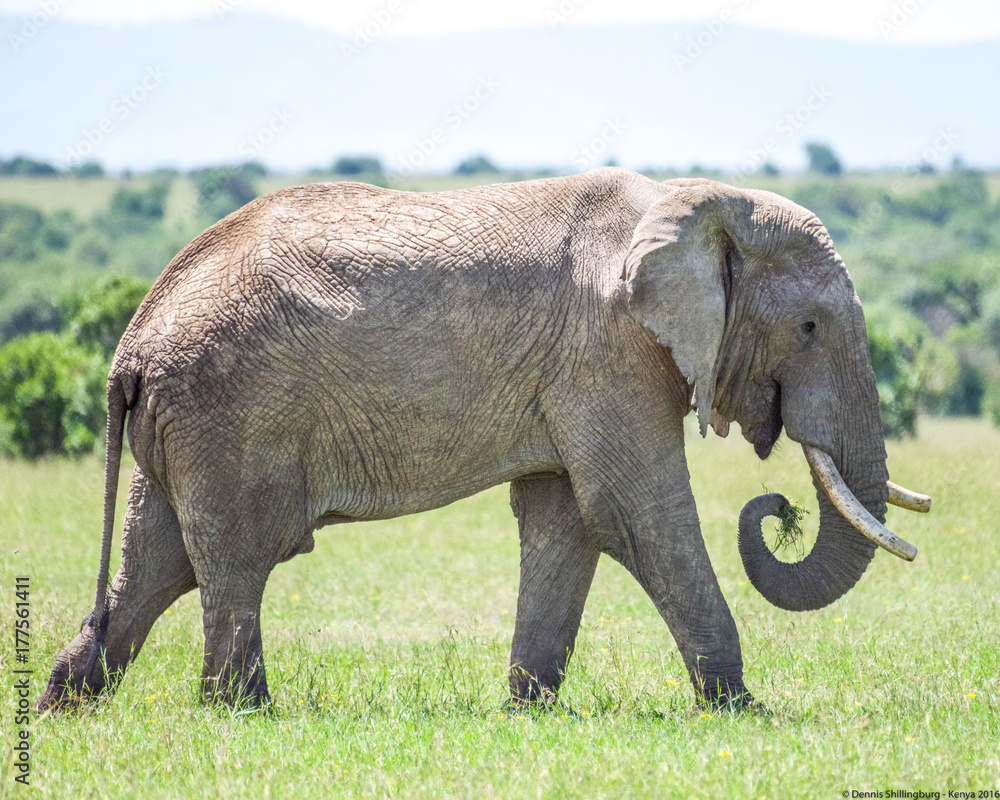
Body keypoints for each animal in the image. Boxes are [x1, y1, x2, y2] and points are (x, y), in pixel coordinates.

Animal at [38, 167, 931, 713]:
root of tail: (131, 341)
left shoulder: (582, 370)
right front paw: (742, 713)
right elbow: (634, 514)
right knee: (234, 558)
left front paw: (528, 710)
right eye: (809, 328)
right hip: (228, 413)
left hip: (186, 422)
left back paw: (63, 709)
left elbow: (567, 521)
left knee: (156, 563)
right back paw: (245, 713)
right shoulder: (610, 352)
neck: (696, 200)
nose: (776, 506)